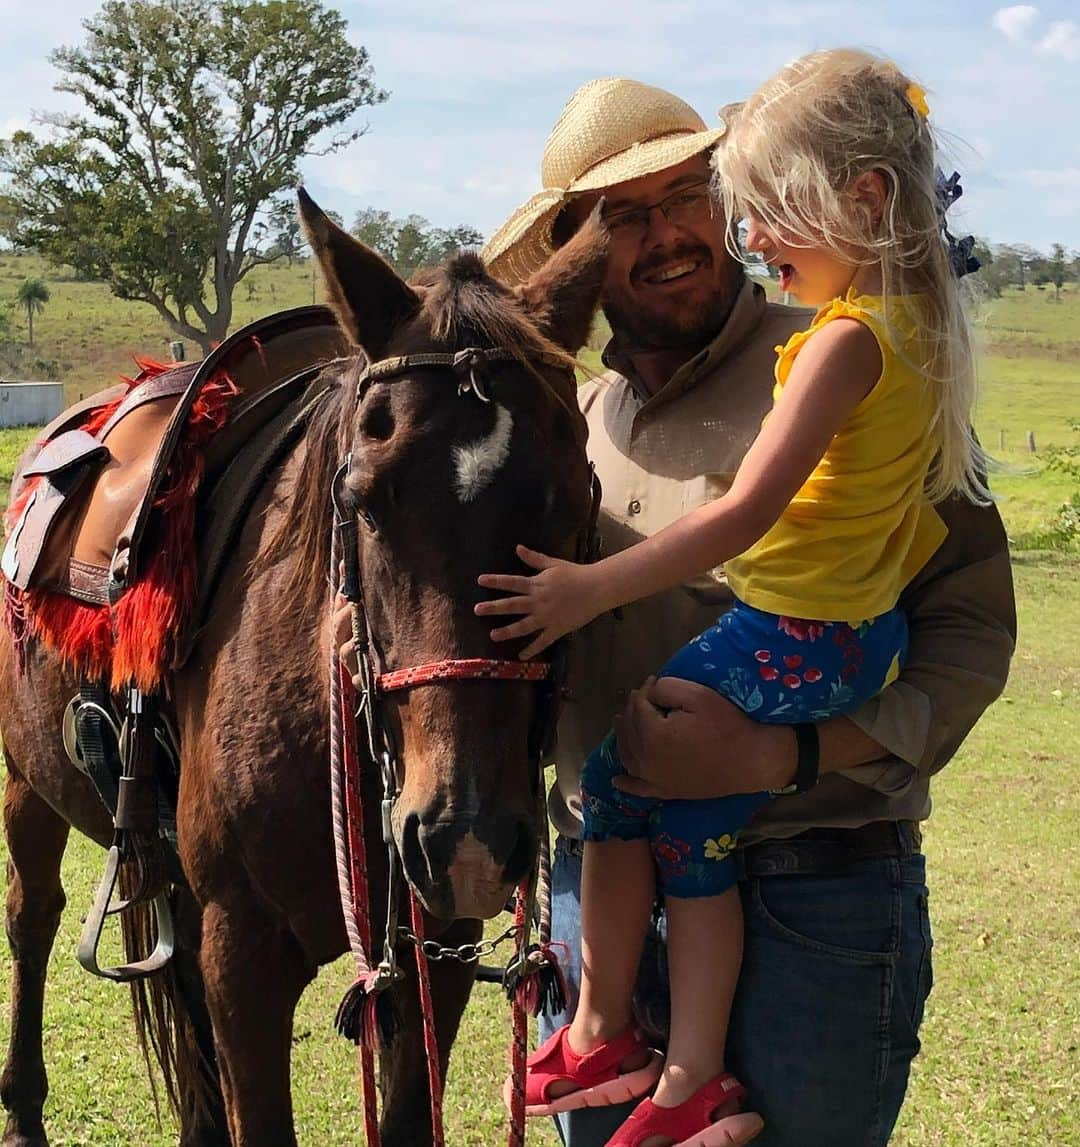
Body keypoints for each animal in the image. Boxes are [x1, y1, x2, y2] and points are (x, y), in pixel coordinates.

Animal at [0, 199, 609, 1147]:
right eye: (362, 500)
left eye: (574, 501)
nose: (463, 831)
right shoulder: (242, 952)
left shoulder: (438, 944)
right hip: (29, 785)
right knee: (32, 919)